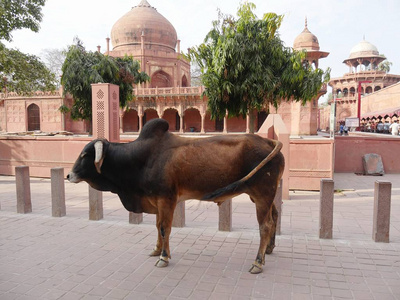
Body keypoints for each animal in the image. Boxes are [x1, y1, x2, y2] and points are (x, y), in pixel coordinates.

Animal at [67, 118, 282, 274]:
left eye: (85, 155)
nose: (69, 175)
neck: (138, 159)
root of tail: (269, 141)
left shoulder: (167, 199)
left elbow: (164, 228)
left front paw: (164, 257)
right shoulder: (156, 201)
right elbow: (157, 226)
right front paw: (156, 250)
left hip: (262, 194)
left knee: (265, 226)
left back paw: (258, 262)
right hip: (264, 196)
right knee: (275, 216)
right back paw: (269, 249)